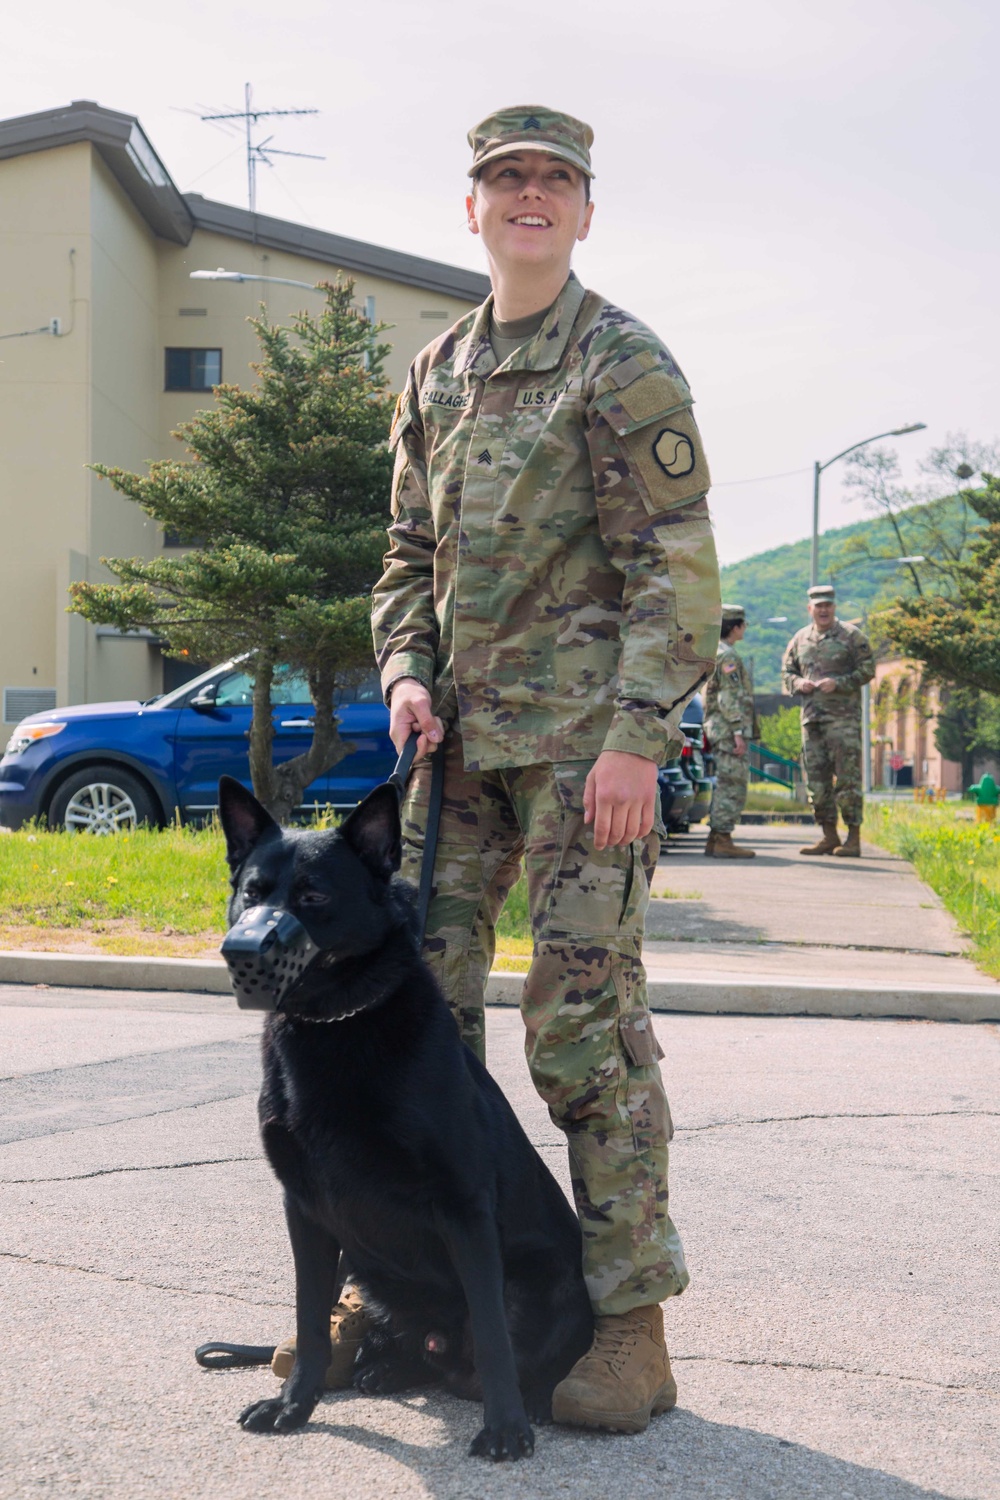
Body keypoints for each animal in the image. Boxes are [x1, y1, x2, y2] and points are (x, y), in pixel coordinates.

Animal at [217, 780, 593, 1458]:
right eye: (253, 892)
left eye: (313, 895)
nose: (241, 950)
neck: (337, 1026)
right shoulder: (305, 1211)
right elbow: (309, 1321)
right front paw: (294, 1405)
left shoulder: (464, 1209)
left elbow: (492, 1337)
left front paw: (506, 1427)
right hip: (373, 1274)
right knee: (422, 1355)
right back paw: (386, 1366)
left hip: (539, 1283)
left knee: (503, 1356)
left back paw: (535, 1400)